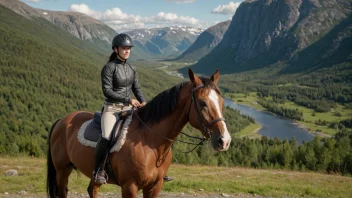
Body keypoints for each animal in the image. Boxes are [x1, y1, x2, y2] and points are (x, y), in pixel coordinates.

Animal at [46, 69, 232, 197]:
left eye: (222, 102)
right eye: (202, 103)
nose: (224, 141)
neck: (152, 143)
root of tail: (62, 120)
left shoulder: (155, 186)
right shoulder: (130, 186)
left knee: (92, 189)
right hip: (62, 170)